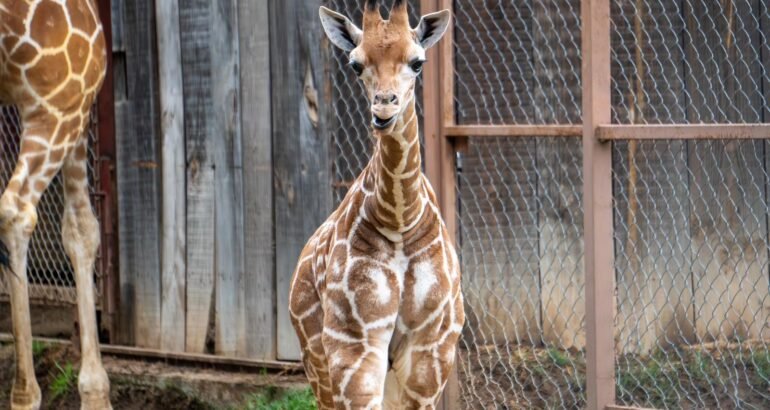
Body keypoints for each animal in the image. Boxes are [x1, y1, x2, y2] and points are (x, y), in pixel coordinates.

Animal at [0, 0, 111, 409]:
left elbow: (76, 229)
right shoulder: (76, 95)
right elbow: (84, 228)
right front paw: (96, 394)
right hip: (55, 103)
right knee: (15, 211)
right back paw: (24, 395)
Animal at [289, 1, 463, 408]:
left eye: (418, 62)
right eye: (356, 64)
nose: (384, 110)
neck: (399, 217)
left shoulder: (432, 347)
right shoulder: (354, 342)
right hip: (316, 359)